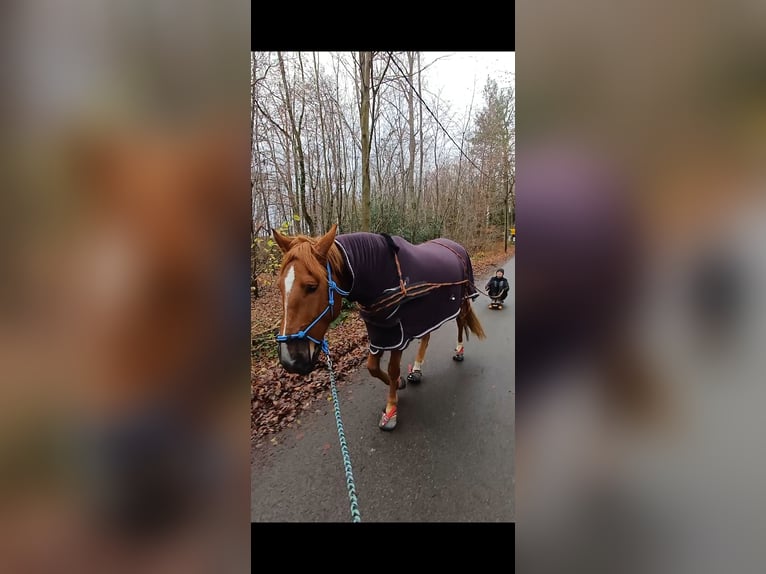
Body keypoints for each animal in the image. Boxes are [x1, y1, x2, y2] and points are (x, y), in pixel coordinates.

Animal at [272, 225, 486, 432]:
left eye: (311, 286)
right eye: (280, 286)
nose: (290, 359)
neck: (380, 275)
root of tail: (456, 246)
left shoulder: (398, 335)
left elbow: (392, 369)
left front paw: (391, 410)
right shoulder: (379, 332)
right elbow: (372, 367)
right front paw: (399, 383)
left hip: (462, 301)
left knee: (460, 323)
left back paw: (459, 351)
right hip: (425, 314)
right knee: (426, 337)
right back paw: (417, 369)